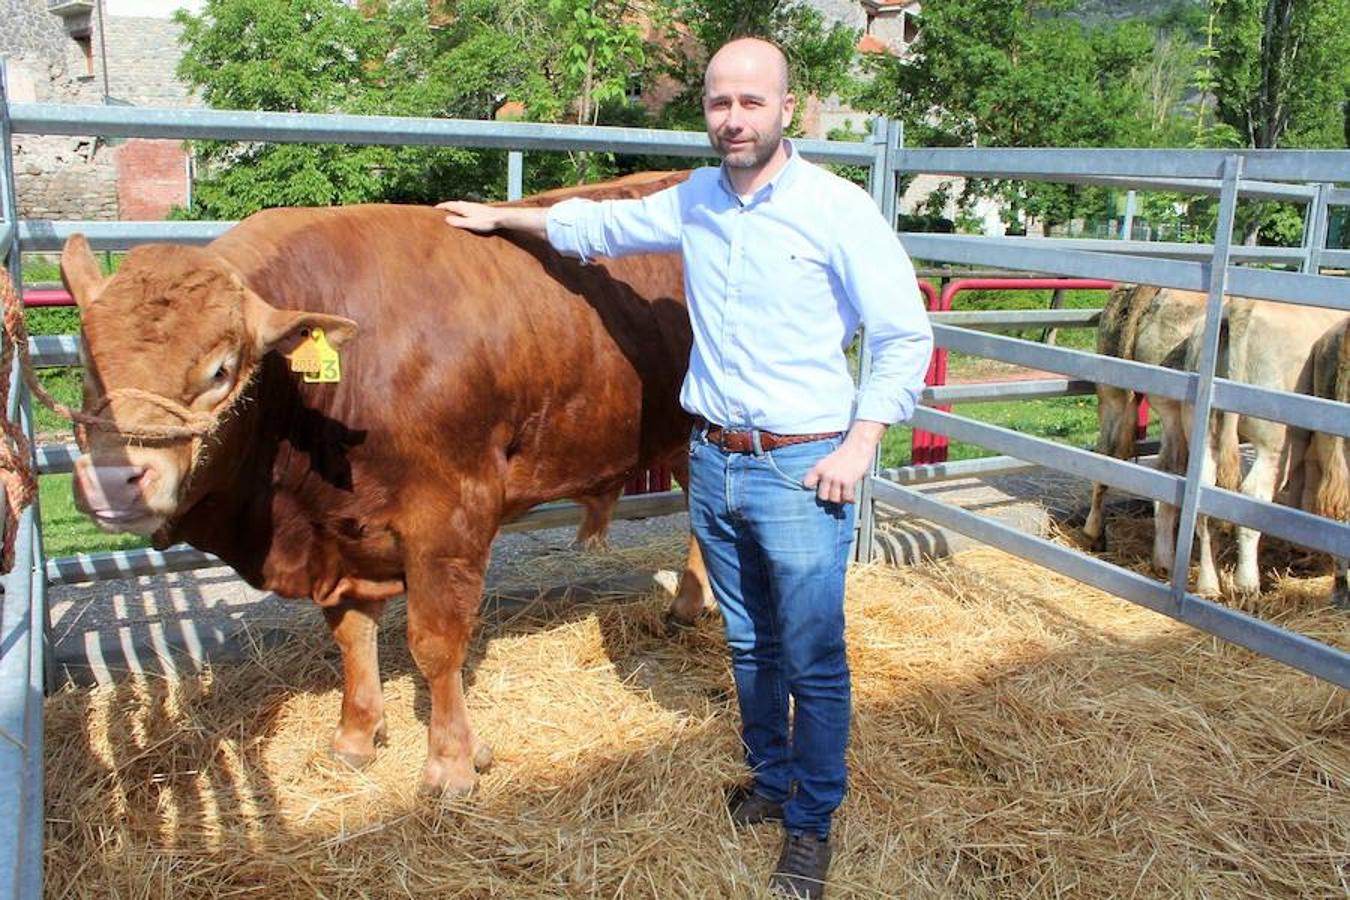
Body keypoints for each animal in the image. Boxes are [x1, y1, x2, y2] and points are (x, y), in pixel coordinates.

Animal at [63, 172, 712, 793]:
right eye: (88, 359)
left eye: (221, 370)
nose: (113, 481)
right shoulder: (342, 534)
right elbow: (352, 635)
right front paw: (356, 735)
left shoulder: (451, 517)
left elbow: (435, 642)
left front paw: (452, 762)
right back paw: (686, 606)